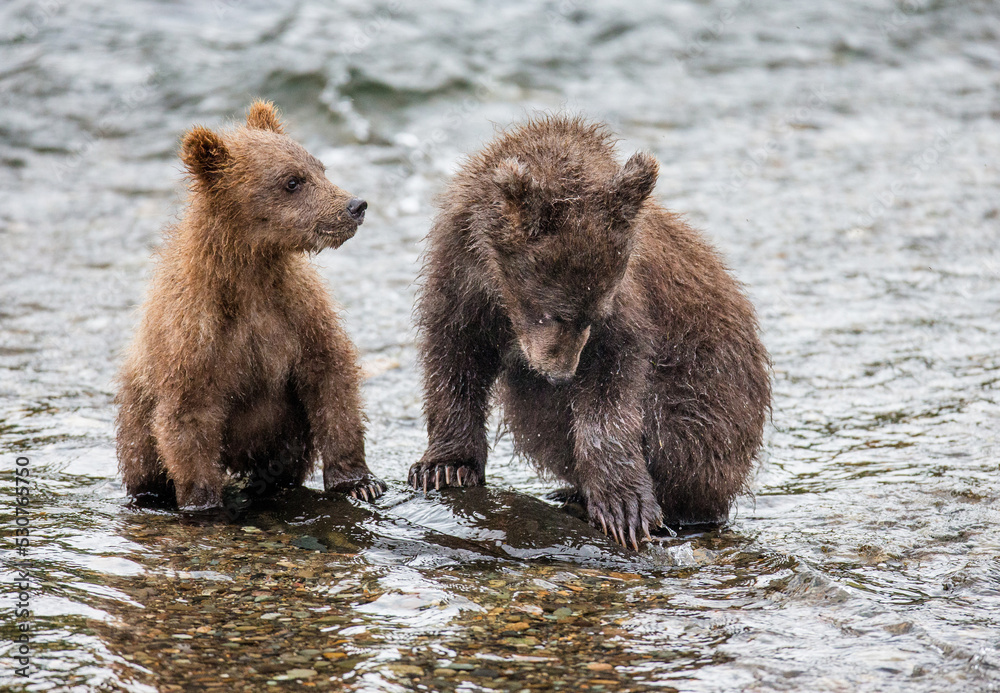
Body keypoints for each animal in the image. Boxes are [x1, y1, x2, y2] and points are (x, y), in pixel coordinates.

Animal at [115, 100, 385, 510]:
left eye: (319, 167)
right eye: (292, 181)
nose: (355, 205)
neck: (249, 277)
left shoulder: (298, 311)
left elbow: (331, 378)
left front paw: (359, 482)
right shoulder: (194, 337)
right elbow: (187, 418)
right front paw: (203, 504)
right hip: (135, 414)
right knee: (143, 456)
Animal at [409, 115, 771, 550]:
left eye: (589, 316)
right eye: (553, 313)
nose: (560, 375)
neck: (496, 284)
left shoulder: (624, 311)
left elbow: (610, 390)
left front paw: (624, 508)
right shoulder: (459, 273)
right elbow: (454, 355)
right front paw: (444, 467)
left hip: (707, 397)